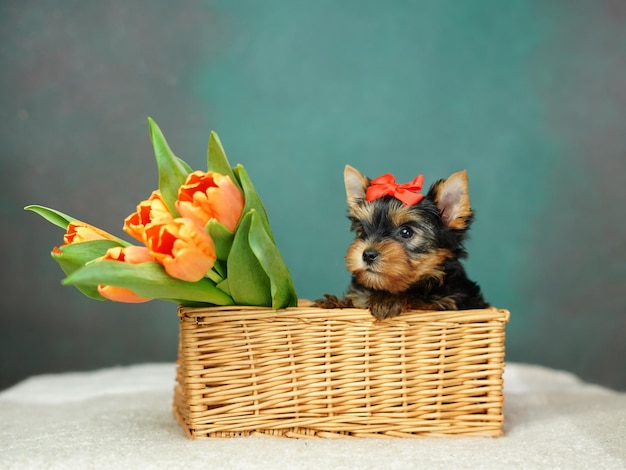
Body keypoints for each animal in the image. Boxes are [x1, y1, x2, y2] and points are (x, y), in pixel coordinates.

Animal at [314, 165, 486, 320]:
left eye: (406, 232)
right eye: (362, 230)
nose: (368, 254)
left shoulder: (449, 301)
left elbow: (421, 299)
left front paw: (387, 300)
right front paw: (335, 303)